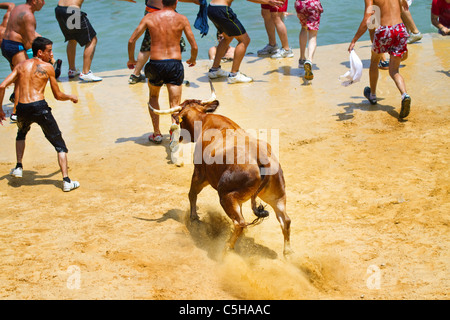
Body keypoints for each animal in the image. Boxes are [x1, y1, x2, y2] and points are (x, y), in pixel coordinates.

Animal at [149, 92, 294, 255]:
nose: (178, 136)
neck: (203, 121)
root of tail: (262, 159)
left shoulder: (200, 174)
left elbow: (192, 193)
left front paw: (194, 217)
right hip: (276, 195)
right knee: (285, 220)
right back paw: (287, 252)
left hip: (226, 195)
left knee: (240, 222)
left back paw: (227, 247)